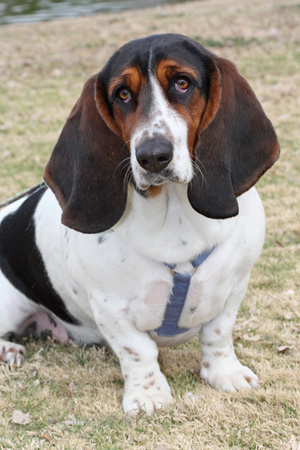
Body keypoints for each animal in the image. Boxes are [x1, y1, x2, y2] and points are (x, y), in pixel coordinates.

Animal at [1, 34, 280, 414]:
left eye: (182, 83)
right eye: (122, 93)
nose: (153, 156)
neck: (175, 217)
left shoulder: (234, 287)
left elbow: (217, 333)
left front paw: (225, 374)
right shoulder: (112, 310)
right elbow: (139, 351)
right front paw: (148, 395)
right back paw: (10, 350)